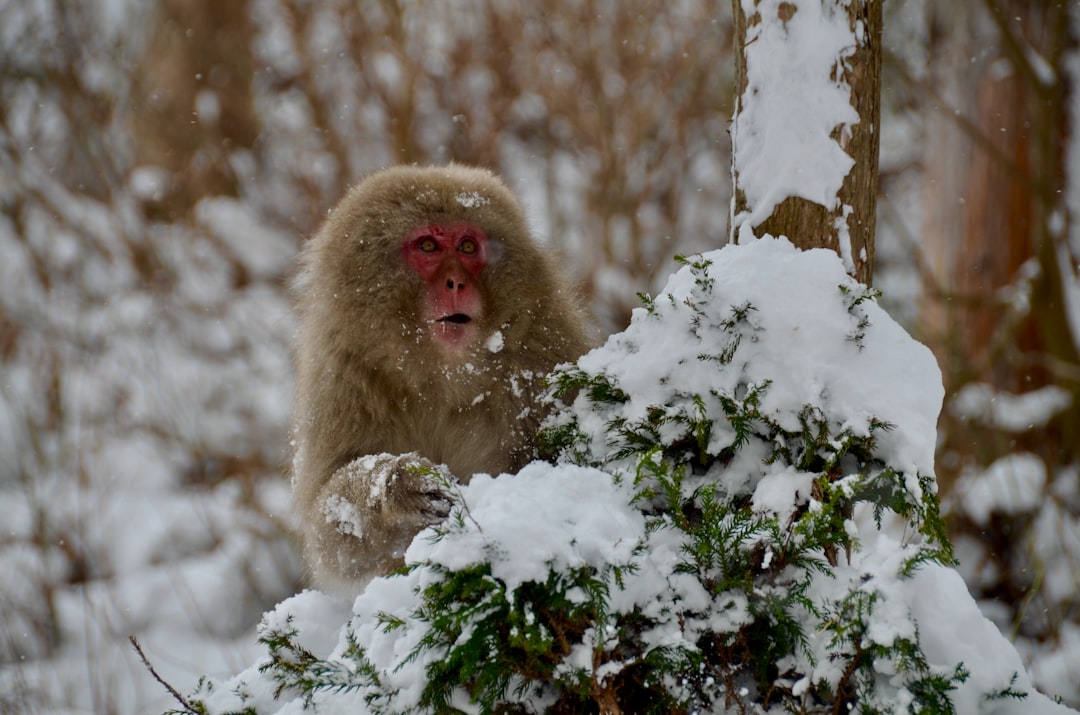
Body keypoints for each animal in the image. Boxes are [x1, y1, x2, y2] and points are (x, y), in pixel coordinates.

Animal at [289, 162, 591, 591]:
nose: (456, 282)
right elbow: (332, 536)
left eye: (466, 247)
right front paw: (397, 484)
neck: (440, 376)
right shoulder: (341, 375)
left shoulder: (542, 353)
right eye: (428, 247)